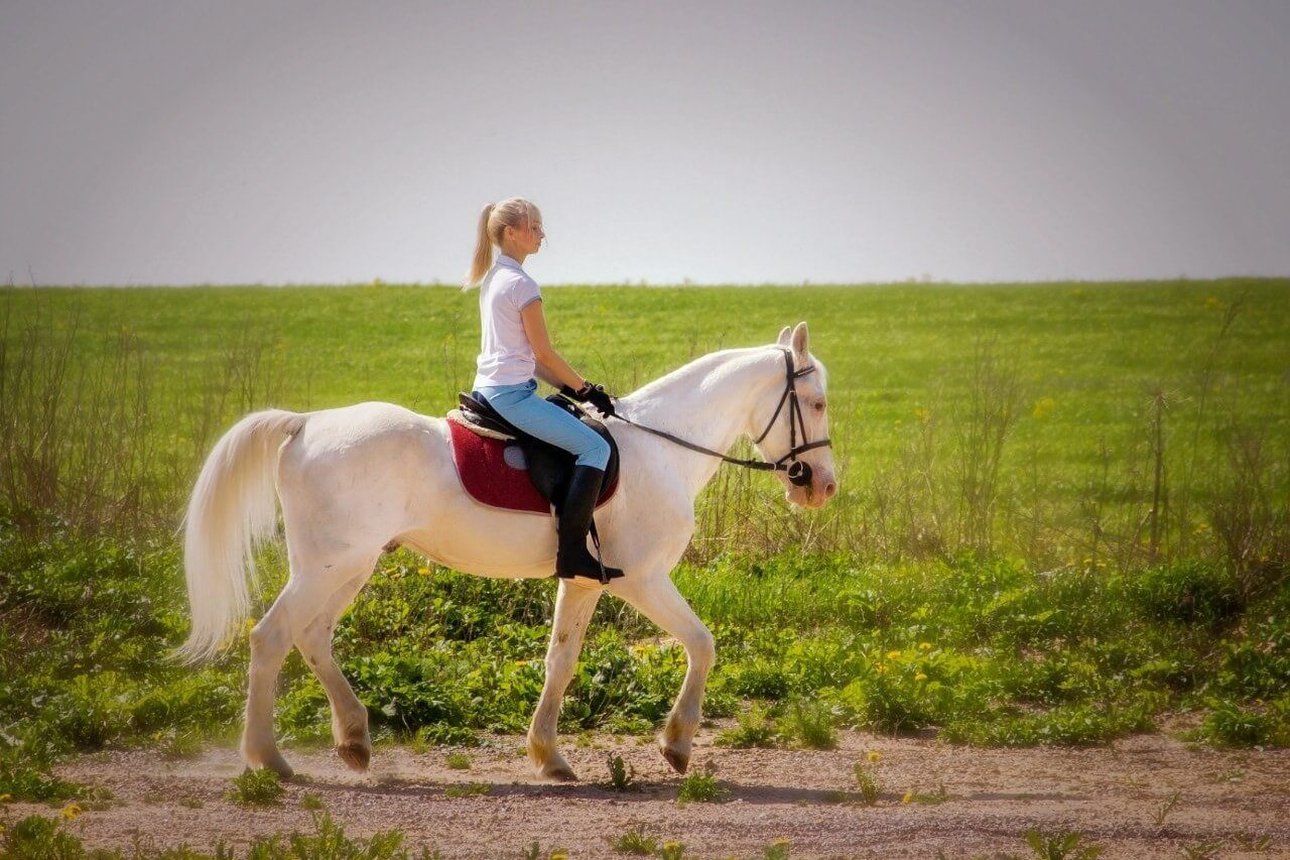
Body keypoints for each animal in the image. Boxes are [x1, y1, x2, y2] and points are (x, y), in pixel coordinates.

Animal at [181, 321, 841, 778]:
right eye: (816, 403)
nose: (824, 486)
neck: (663, 446)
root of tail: (305, 424)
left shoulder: (583, 579)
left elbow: (561, 661)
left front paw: (549, 755)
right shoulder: (644, 579)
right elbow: (702, 643)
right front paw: (676, 744)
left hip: (349, 565)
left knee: (312, 634)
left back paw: (354, 739)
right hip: (329, 565)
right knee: (271, 637)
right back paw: (269, 759)